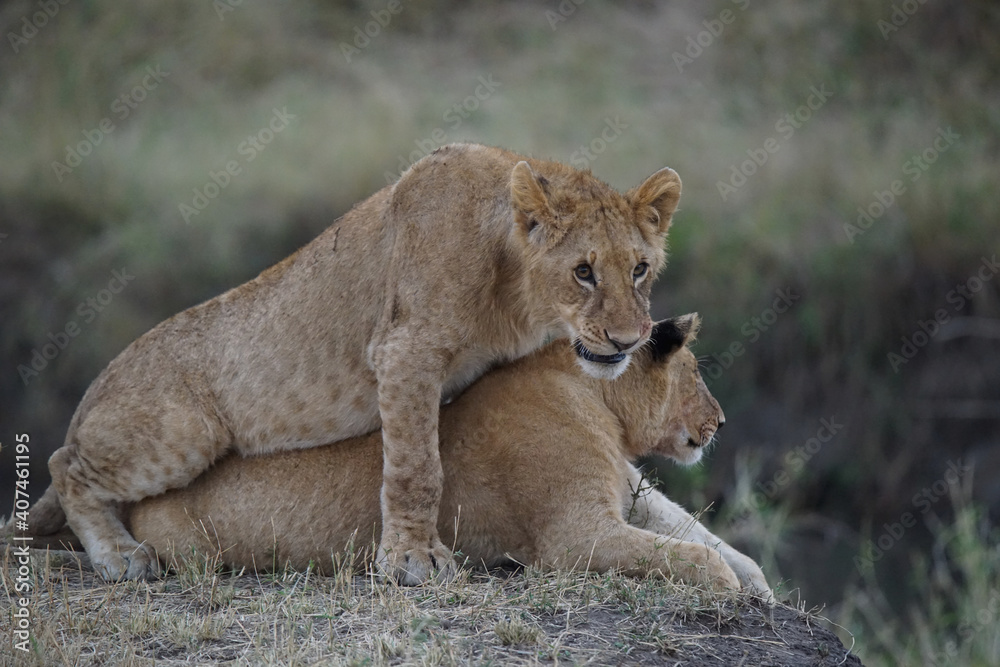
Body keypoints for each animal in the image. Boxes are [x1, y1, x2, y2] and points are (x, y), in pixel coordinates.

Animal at [20, 143, 683, 584]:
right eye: (583, 271)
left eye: (640, 268)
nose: (629, 341)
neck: (515, 295)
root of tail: (93, 392)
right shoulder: (405, 351)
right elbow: (416, 466)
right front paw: (414, 559)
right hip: (185, 428)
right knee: (62, 462)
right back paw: (119, 557)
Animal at [48, 315, 765, 598]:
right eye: (696, 372)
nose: (722, 421)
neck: (597, 400)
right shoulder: (574, 534)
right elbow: (681, 553)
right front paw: (727, 584)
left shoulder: (627, 492)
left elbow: (691, 531)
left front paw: (755, 581)